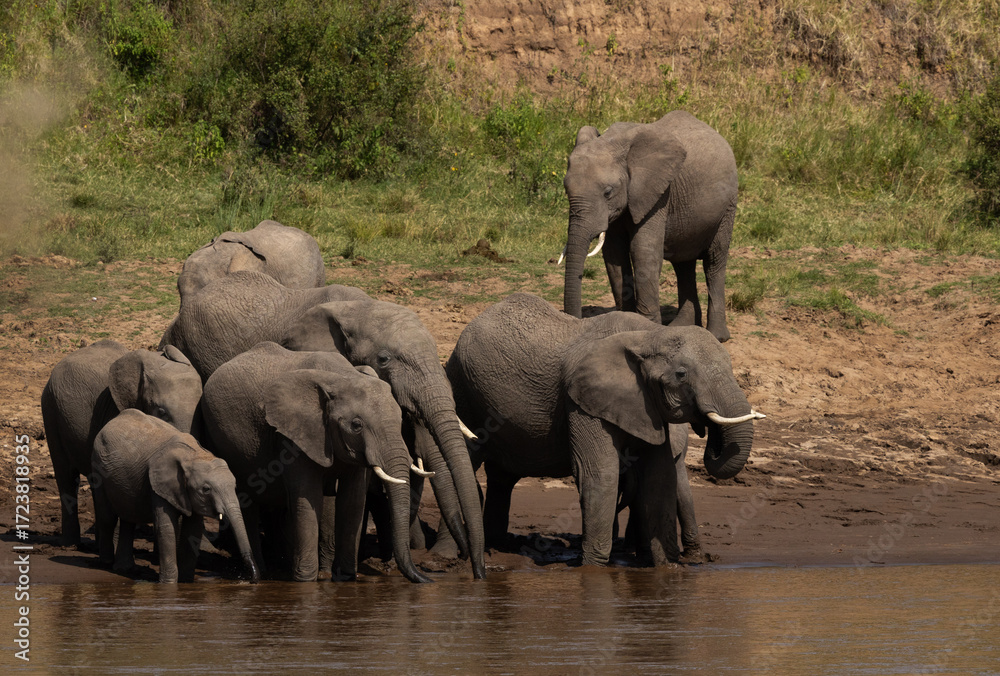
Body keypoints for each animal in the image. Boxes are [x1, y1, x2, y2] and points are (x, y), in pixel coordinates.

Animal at [91, 409, 259, 583]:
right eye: (206, 489)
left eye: (234, 486)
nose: (251, 579)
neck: (195, 455)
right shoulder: (158, 483)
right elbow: (167, 528)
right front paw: (168, 585)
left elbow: (192, 530)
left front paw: (186, 583)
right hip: (98, 466)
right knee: (108, 517)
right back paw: (106, 563)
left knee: (129, 517)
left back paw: (126, 569)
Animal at [199, 341, 432, 583]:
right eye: (356, 425)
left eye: (400, 419)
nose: (426, 579)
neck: (341, 377)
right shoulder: (292, 436)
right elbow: (307, 498)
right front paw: (306, 581)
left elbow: (353, 501)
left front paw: (346, 578)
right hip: (219, 437)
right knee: (247, 503)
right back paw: (261, 573)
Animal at [446, 293, 761, 567]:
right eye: (681, 375)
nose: (707, 433)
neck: (649, 335)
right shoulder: (581, 401)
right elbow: (599, 474)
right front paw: (594, 569)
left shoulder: (645, 404)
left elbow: (660, 478)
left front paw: (666, 569)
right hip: (462, 386)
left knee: (502, 477)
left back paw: (498, 545)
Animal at [562, 110, 738, 342]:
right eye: (566, 189)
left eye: (608, 192)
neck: (614, 142)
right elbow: (614, 255)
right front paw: (624, 325)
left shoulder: (658, 193)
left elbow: (643, 251)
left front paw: (647, 328)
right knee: (683, 264)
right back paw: (681, 326)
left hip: (727, 207)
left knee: (714, 260)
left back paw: (717, 336)